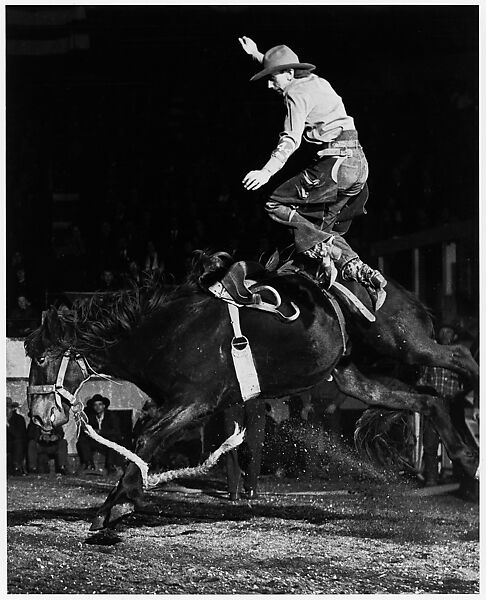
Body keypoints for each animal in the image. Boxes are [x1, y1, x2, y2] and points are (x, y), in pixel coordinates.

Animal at [25, 252, 478, 528]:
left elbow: (144, 436)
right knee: (428, 400)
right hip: (356, 377)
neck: (168, 329)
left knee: (458, 356)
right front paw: (117, 500)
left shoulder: (196, 401)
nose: (39, 415)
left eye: (42, 356)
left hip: (404, 341)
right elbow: (144, 437)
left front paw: (119, 502)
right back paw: (466, 455)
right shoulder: (182, 405)